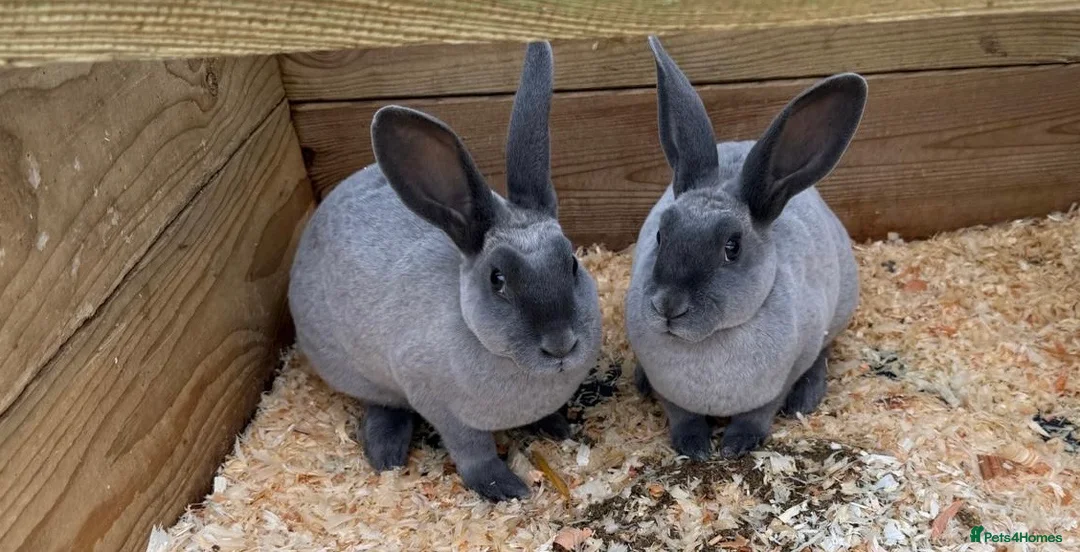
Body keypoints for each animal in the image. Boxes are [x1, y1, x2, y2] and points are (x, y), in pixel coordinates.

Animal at [287, 41, 602, 501]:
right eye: (497, 280)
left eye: (572, 263)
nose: (561, 344)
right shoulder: (441, 407)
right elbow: (473, 453)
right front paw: (506, 488)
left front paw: (557, 426)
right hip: (359, 373)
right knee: (382, 404)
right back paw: (387, 452)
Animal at [625, 36, 867, 460]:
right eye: (660, 235)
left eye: (732, 248)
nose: (668, 306)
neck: (709, 341)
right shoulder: (669, 391)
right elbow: (680, 413)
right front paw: (694, 446)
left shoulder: (782, 375)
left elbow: (760, 412)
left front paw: (736, 445)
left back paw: (807, 398)